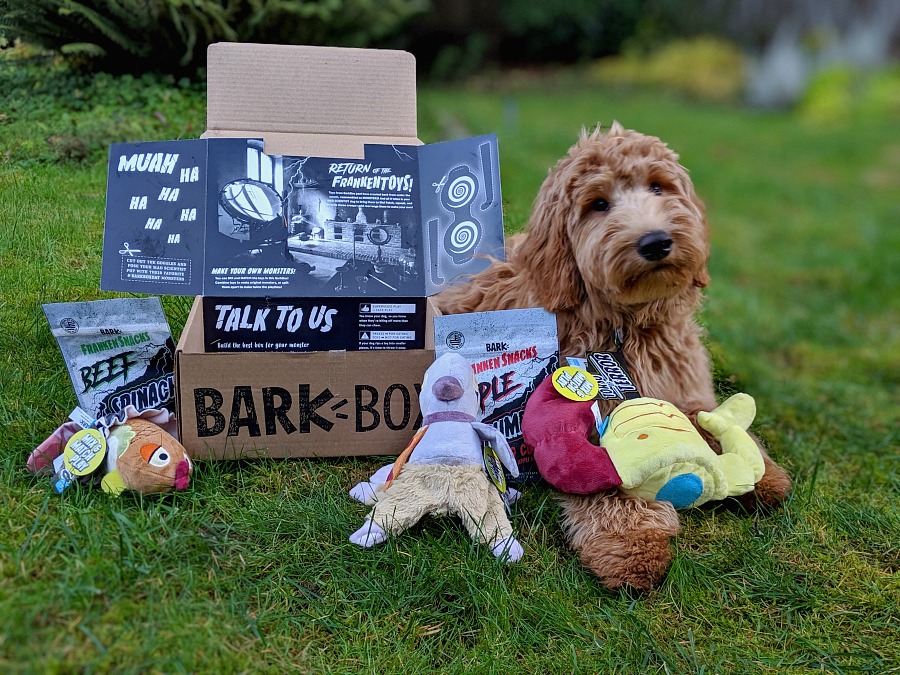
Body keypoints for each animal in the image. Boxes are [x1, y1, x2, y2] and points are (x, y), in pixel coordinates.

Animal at [432, 123, 792, 592]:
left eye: (658, 186)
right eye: (598, 204)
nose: (656, 242)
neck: (624, 323)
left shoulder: (683, 387)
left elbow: (713, 419)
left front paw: (764, 474)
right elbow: (610, 482)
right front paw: (633, 546)